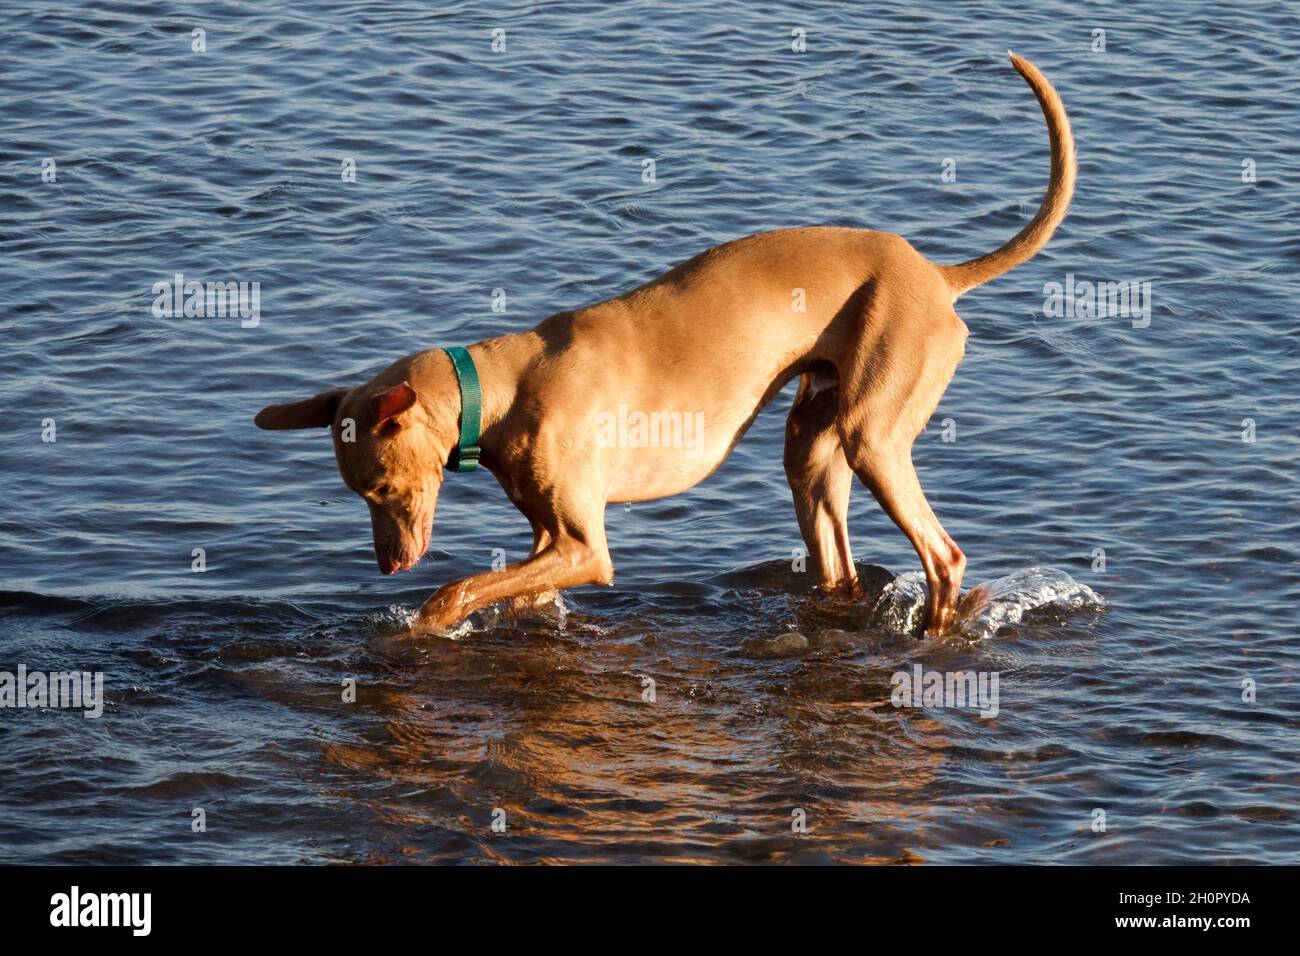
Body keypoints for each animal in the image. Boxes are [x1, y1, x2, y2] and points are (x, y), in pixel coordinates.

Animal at [253, 50, 1076, 634]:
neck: (503, 387)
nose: (389, 566)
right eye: (359, 495)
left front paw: (418, 625)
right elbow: (510, 594)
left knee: (945, 556)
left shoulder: (584, 547)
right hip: (814, 445)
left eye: (381, 490)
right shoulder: (548, 542)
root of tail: (935, 274)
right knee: (839, 561)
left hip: (873, 435)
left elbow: (456, 592)